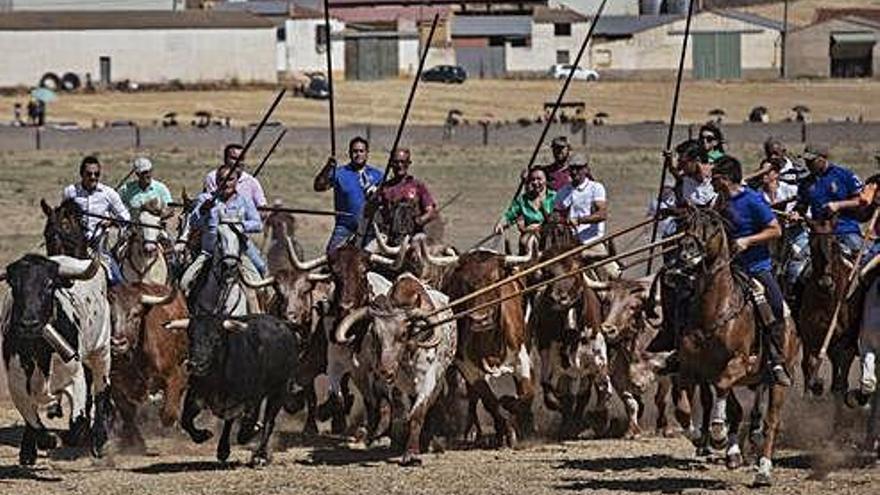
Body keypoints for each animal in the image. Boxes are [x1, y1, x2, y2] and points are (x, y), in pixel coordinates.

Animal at [672, 207, 800, 486]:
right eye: (685, 223)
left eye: (712, 224)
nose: (686, 251)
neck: (714, 310)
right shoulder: (691, 370)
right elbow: (682, 408)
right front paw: (698, 436)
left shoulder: (738, 364)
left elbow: (722, 391)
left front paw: (718, 435)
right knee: (738, 410)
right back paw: (733, 454)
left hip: (780, 380)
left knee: (771, 421)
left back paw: (763, 470)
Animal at [796, 221, 860, 400]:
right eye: (812, 245)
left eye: (833, 243)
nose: (826, 283)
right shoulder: (808, 335)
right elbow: (808, 363)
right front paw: (809, 391)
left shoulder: (842, 338)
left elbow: (841, 361)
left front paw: (836, 389)